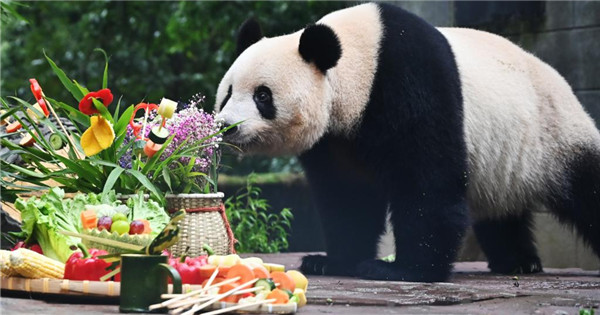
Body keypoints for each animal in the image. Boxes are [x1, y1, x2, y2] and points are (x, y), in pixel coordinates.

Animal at [216, 2, 600, 282]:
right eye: (228, 93)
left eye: (263, 96)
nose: (227, 127)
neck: (359, 63)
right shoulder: (334, 139)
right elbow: (346, 196)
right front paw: (330, 261)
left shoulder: (410, 79)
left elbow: (427, 181)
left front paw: (402, 269)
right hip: (505, 160)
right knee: (502, 212)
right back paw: (517, 262)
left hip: (553, 134)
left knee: (586, 186)